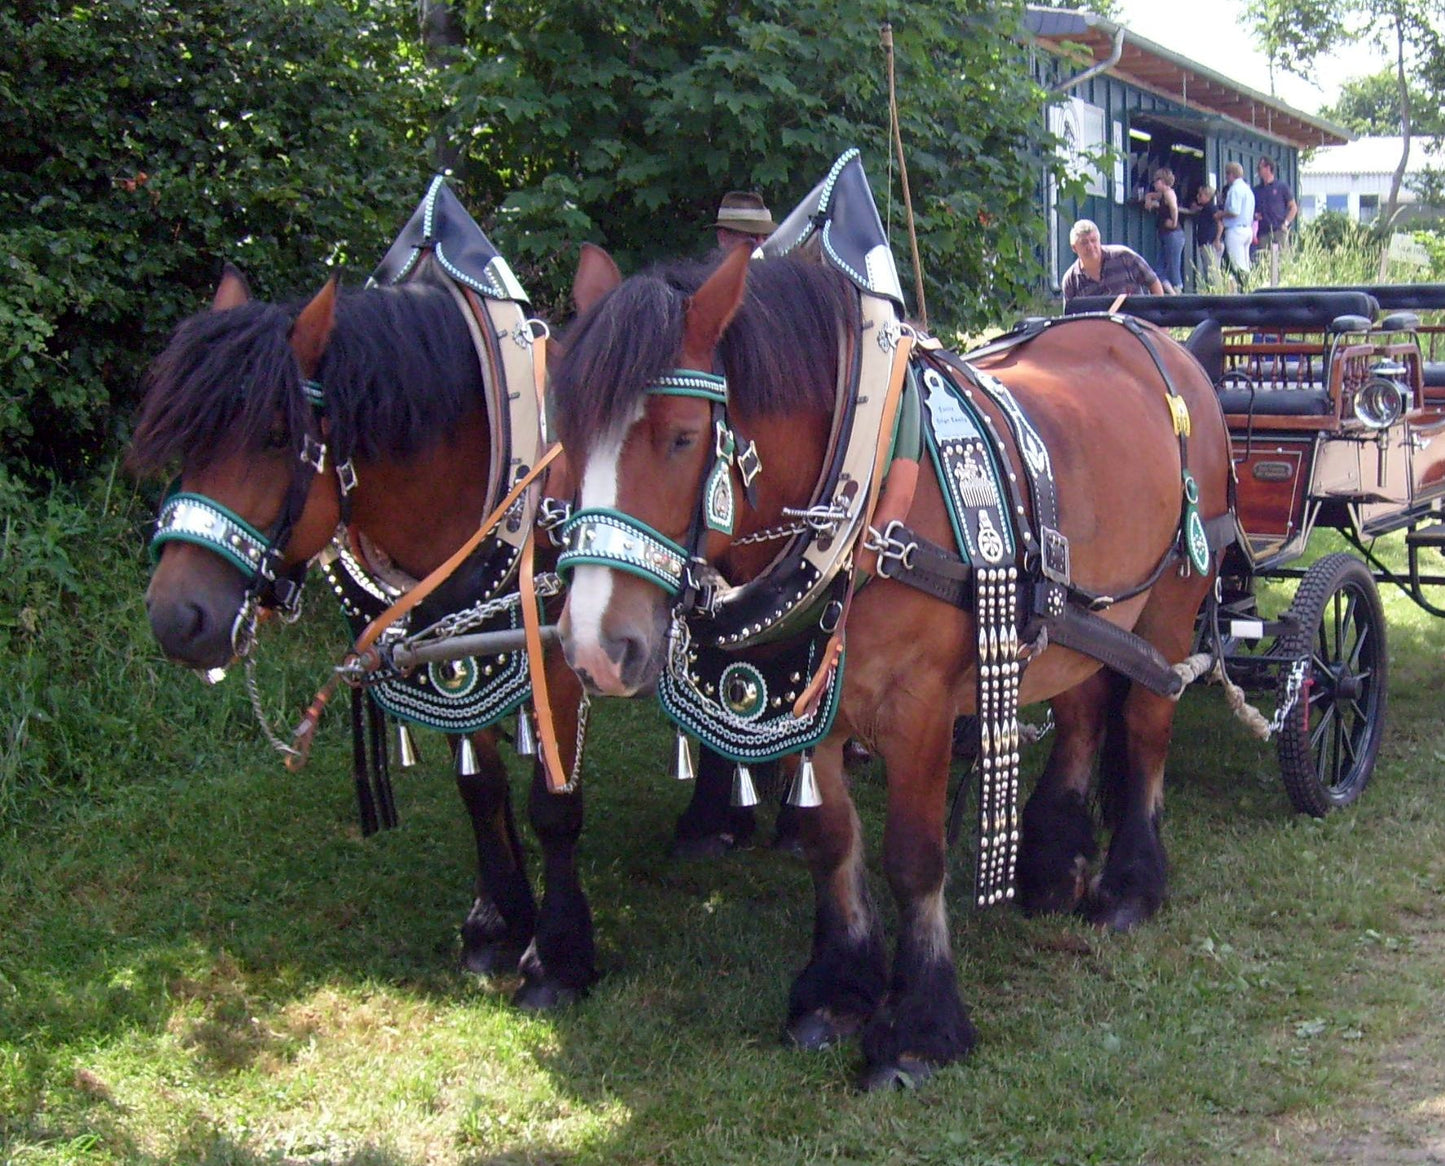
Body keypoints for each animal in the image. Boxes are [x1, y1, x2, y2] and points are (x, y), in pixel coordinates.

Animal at [130, 264, 598, 1008]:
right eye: (186, 441)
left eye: (274, 434)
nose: (178, 619)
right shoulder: (445, 658)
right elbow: (480, 790)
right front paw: (495, 923)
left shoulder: (557, 656)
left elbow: (553, 806)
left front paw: (556, 958)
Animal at [549, 239, 1233, 1089]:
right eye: (567, 439)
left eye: (679, 437)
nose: (593, 648)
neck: (864, 495)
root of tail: (1143, 335)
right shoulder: (806, 706)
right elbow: (829, 840)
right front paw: (837, 989)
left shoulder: (917, 712)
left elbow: (912, 860)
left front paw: (919, 1027)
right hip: (1080, 619)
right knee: (1078, 714)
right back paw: (1053, 863)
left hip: (1172, 603)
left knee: (1143, 724)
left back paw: (1129, 885)